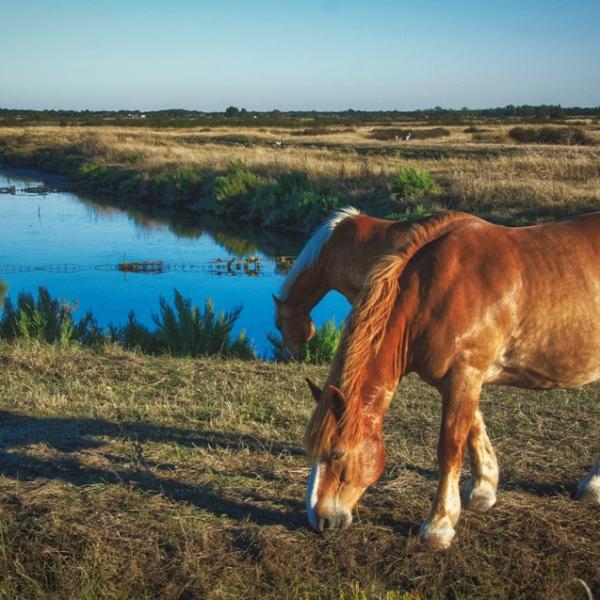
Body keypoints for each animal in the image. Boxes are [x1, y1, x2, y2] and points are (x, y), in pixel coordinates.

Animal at [304, 213, 600, 552]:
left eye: (337, 454)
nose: (319, 520)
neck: (435, 291)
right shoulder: (461, 378)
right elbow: (473, 428)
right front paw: (483, 491)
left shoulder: (465, 374)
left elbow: (450, 446)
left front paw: (438, 525)